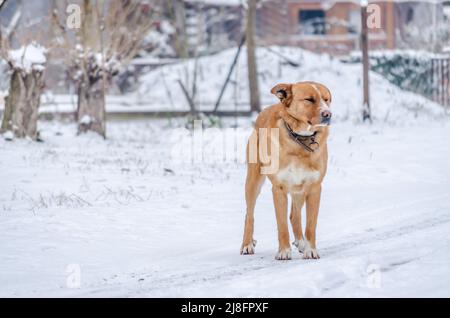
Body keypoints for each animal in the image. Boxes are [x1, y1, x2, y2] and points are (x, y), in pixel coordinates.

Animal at [241, 82, 332, 260]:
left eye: (326, 99)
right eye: (309, 99)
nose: (328, 114)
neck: (299, 139)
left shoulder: (314, 188)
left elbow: (311, 225)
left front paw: (310, 250)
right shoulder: (279, 189)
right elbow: (281, 224)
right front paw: (283, 252)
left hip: (300, 189)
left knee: (294, 215)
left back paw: (301, 243)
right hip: (253, 181)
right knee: (249, 214)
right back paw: (247, 244)